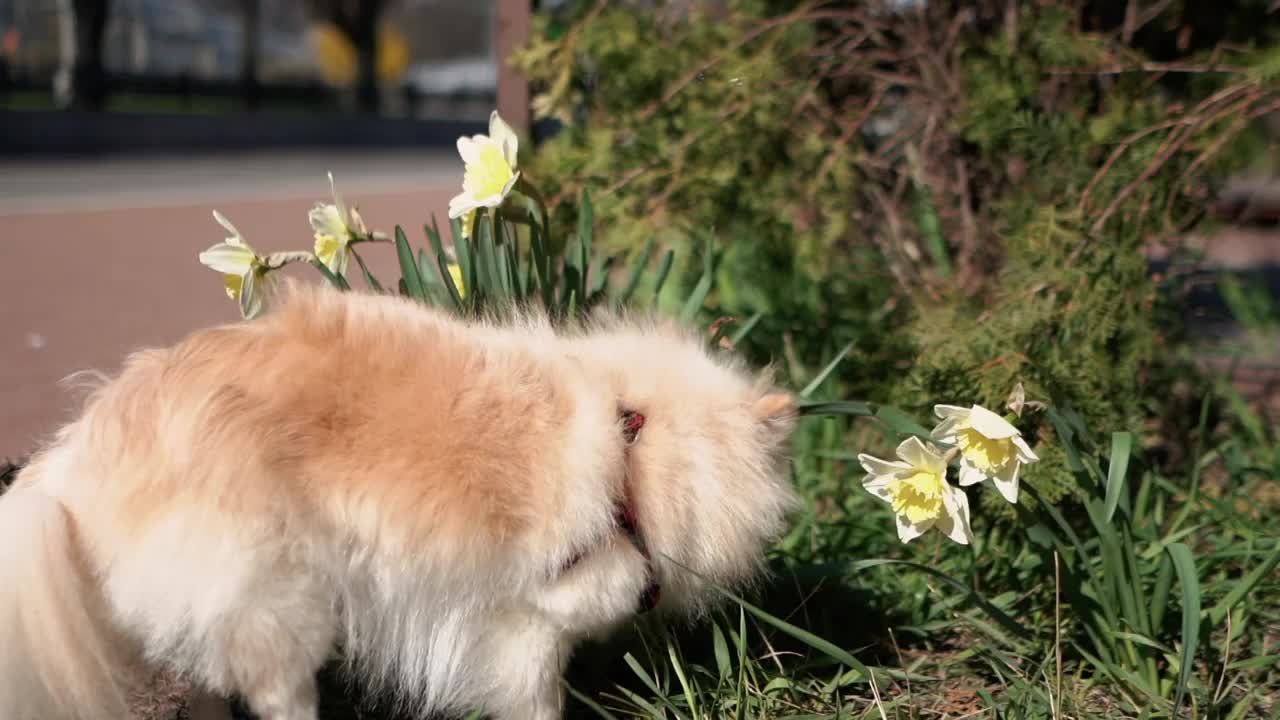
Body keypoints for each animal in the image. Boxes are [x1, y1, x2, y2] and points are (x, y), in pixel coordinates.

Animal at [0, 279, 798, 717]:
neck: (636, 448)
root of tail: (74, 455)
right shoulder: (526, 623)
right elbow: (538, 699)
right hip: (280, 601)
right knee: (274, 693)